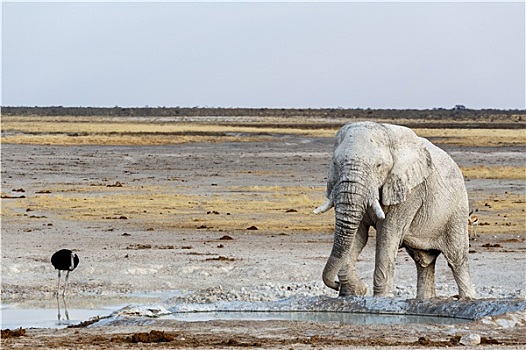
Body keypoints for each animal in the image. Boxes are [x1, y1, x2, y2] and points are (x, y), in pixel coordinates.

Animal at [318, 121, 478, 300]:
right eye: (335, 163)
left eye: (378, 165)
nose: (335, 285)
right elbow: (358, 235)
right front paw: (353, 293)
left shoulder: (410, 191)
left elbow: (388, 234)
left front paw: (381, 298)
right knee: (424, 262)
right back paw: (425, 299)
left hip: (456, 210)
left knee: (457, 260)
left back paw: (468, 298)